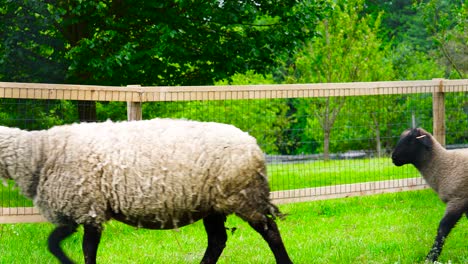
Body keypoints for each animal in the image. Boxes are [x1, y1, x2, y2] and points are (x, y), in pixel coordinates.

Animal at [0, 118, 292, 264]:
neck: (38, 153)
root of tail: (253, 145)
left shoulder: (87, 207)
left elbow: (85, 249)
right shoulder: (80, 211)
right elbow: (61, 245)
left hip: (243, 196)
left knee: (270, 232)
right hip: (212, 204)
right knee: (218, 240)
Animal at [392, 128, 468, 262]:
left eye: (411, 141)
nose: (393, 158)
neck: (445, 165)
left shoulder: (458, 199)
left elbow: (442, 228)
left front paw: (431, 257)